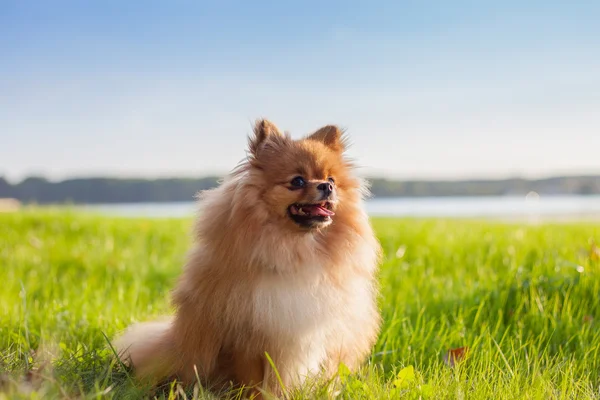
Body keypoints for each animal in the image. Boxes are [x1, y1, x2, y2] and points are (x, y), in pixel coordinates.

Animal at [115, 118, 382, 396]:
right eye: (297, 181)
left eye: (331, 179)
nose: (327, 186)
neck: (298, 249)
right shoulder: (248, 334)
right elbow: (252, 377)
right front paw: (255, 396)